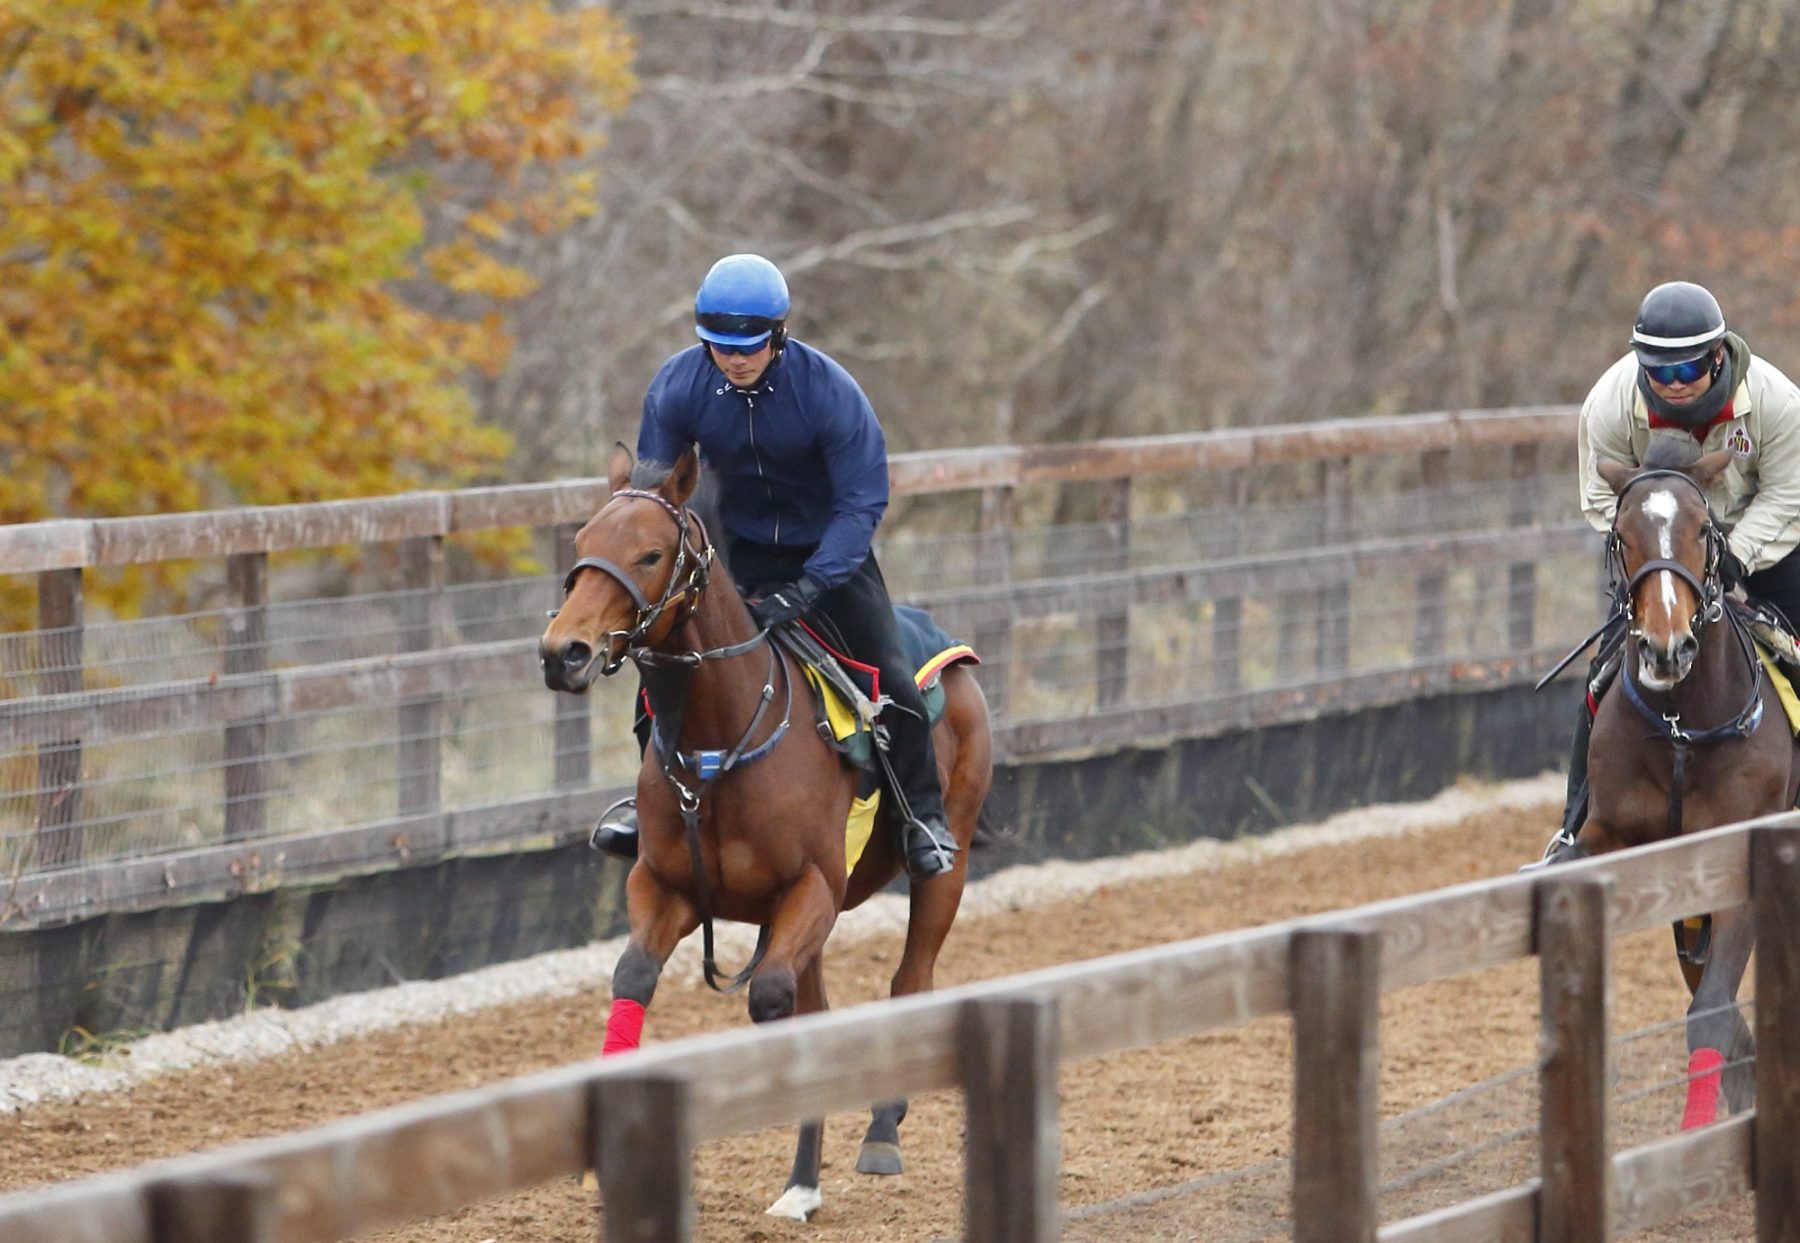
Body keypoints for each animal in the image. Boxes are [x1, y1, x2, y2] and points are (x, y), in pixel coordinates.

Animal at [538, 444, 994, 1219]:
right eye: (582, 544)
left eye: (651, 553)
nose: (561, 651)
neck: (722, 736)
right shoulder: (667, 887)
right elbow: (635, 976)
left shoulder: (809, 889)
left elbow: (771, 1000)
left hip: (945, 864)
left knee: (911, 976)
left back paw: (881, 1129)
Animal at [1547, 441, 1800, 1128]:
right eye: (1622, 535)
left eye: (1703, 531)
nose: (1667, 647)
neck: (1685, 726)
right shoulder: (1620, 842)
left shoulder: (1742, 859)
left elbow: (1709, 1013)